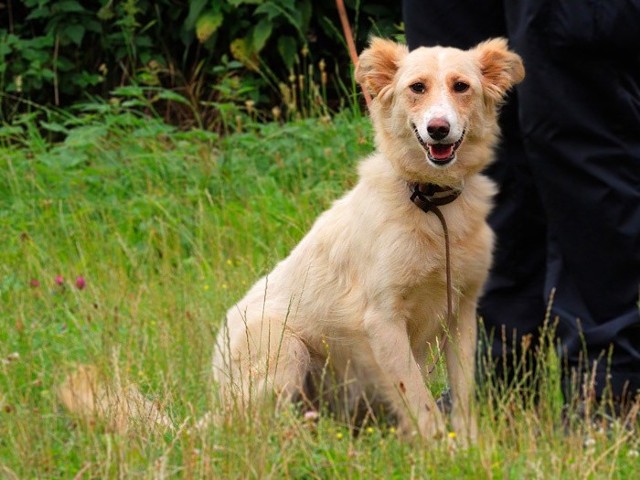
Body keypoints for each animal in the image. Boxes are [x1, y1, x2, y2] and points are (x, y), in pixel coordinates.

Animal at [212, 38, 524, 442]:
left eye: (461, 86)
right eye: (417, 87)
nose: (438, 129)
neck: (431, 204)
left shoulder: (462, 313)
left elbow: (462, 395)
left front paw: (470, 445)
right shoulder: (383, 320)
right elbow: (419, 399)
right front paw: (441, 448)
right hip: (284, 350)